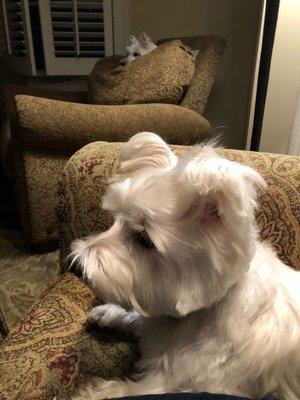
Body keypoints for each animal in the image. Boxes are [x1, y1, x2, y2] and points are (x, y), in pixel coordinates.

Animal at [71, 132, 300, 400]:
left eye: (145, 239)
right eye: (117, 219)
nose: (76, 267)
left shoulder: (175, 383)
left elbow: (118, 391)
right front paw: (107, 313)